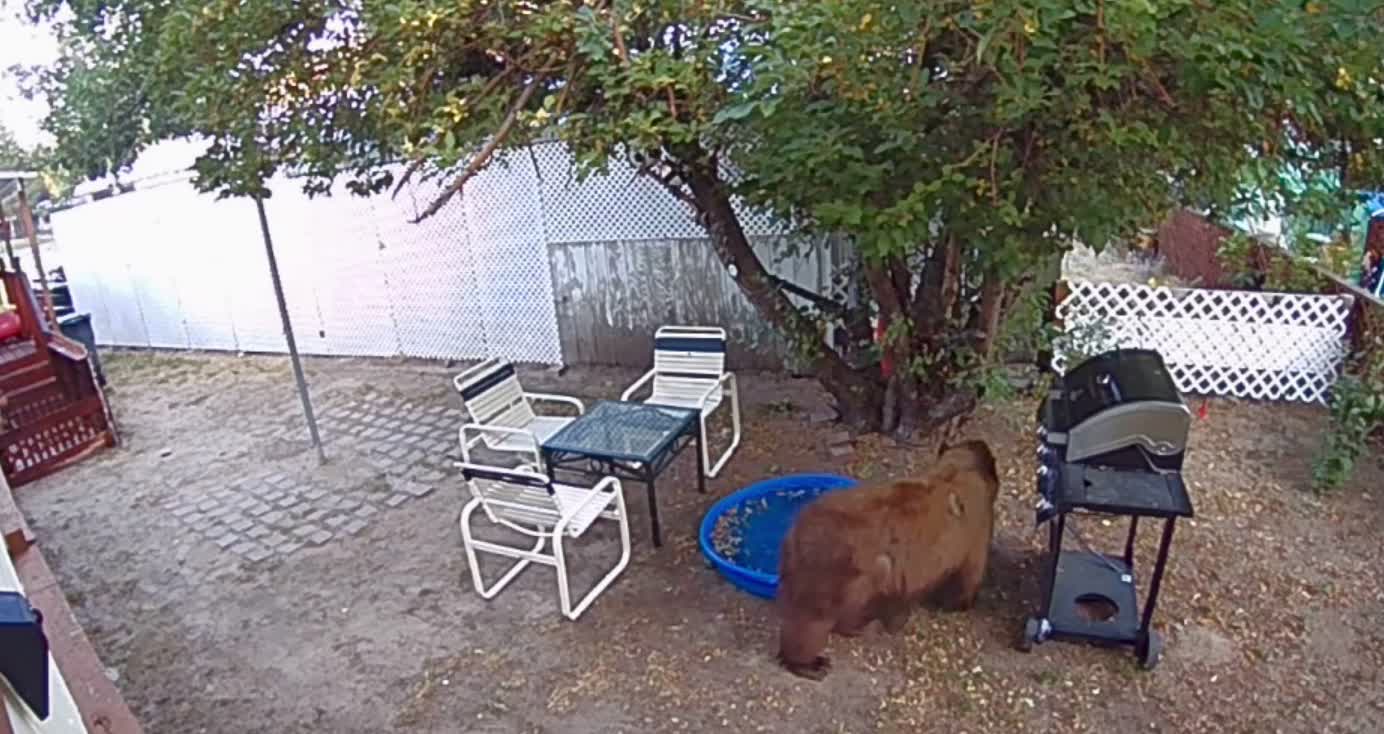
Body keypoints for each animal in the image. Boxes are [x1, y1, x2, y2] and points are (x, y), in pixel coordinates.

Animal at [780, 437, 996, 675]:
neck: (959, 468)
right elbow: (969, 574)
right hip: (833, 575)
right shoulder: (978, 525)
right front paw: (958, 603)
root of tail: (797, 534)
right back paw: (809, 663)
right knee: (812, 622)